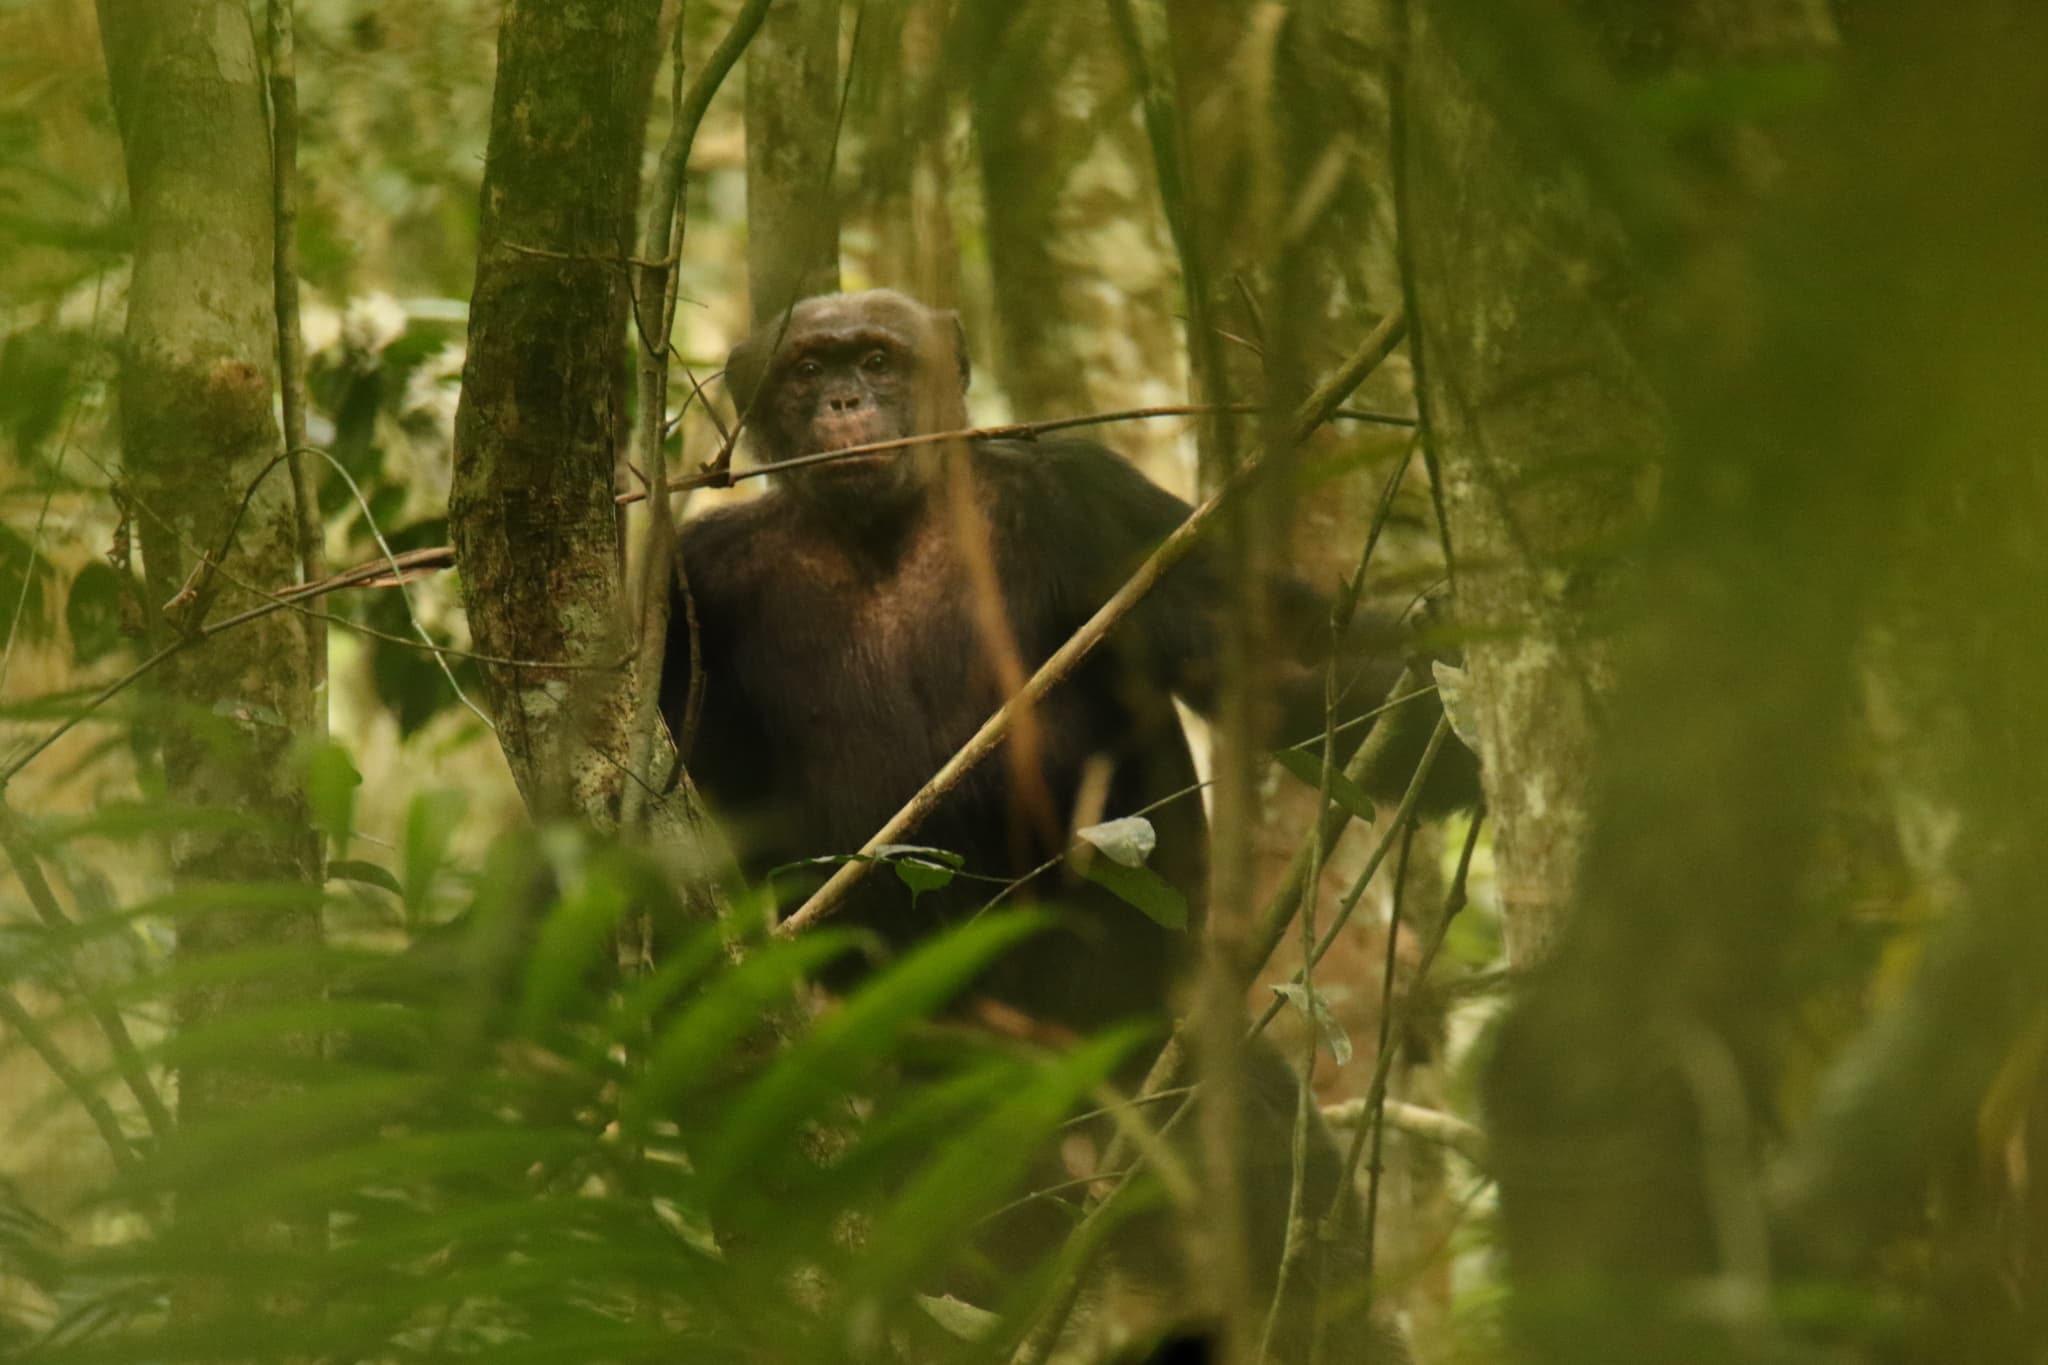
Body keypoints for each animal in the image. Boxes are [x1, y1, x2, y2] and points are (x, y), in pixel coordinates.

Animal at [666, 290, 1442, 1360]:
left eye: (877, 357)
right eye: (803, 369)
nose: (843, 401)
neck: (884, 531)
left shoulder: (1095, 502)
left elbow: (1272, 664)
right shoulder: (698, 584)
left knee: (1269, 1167)